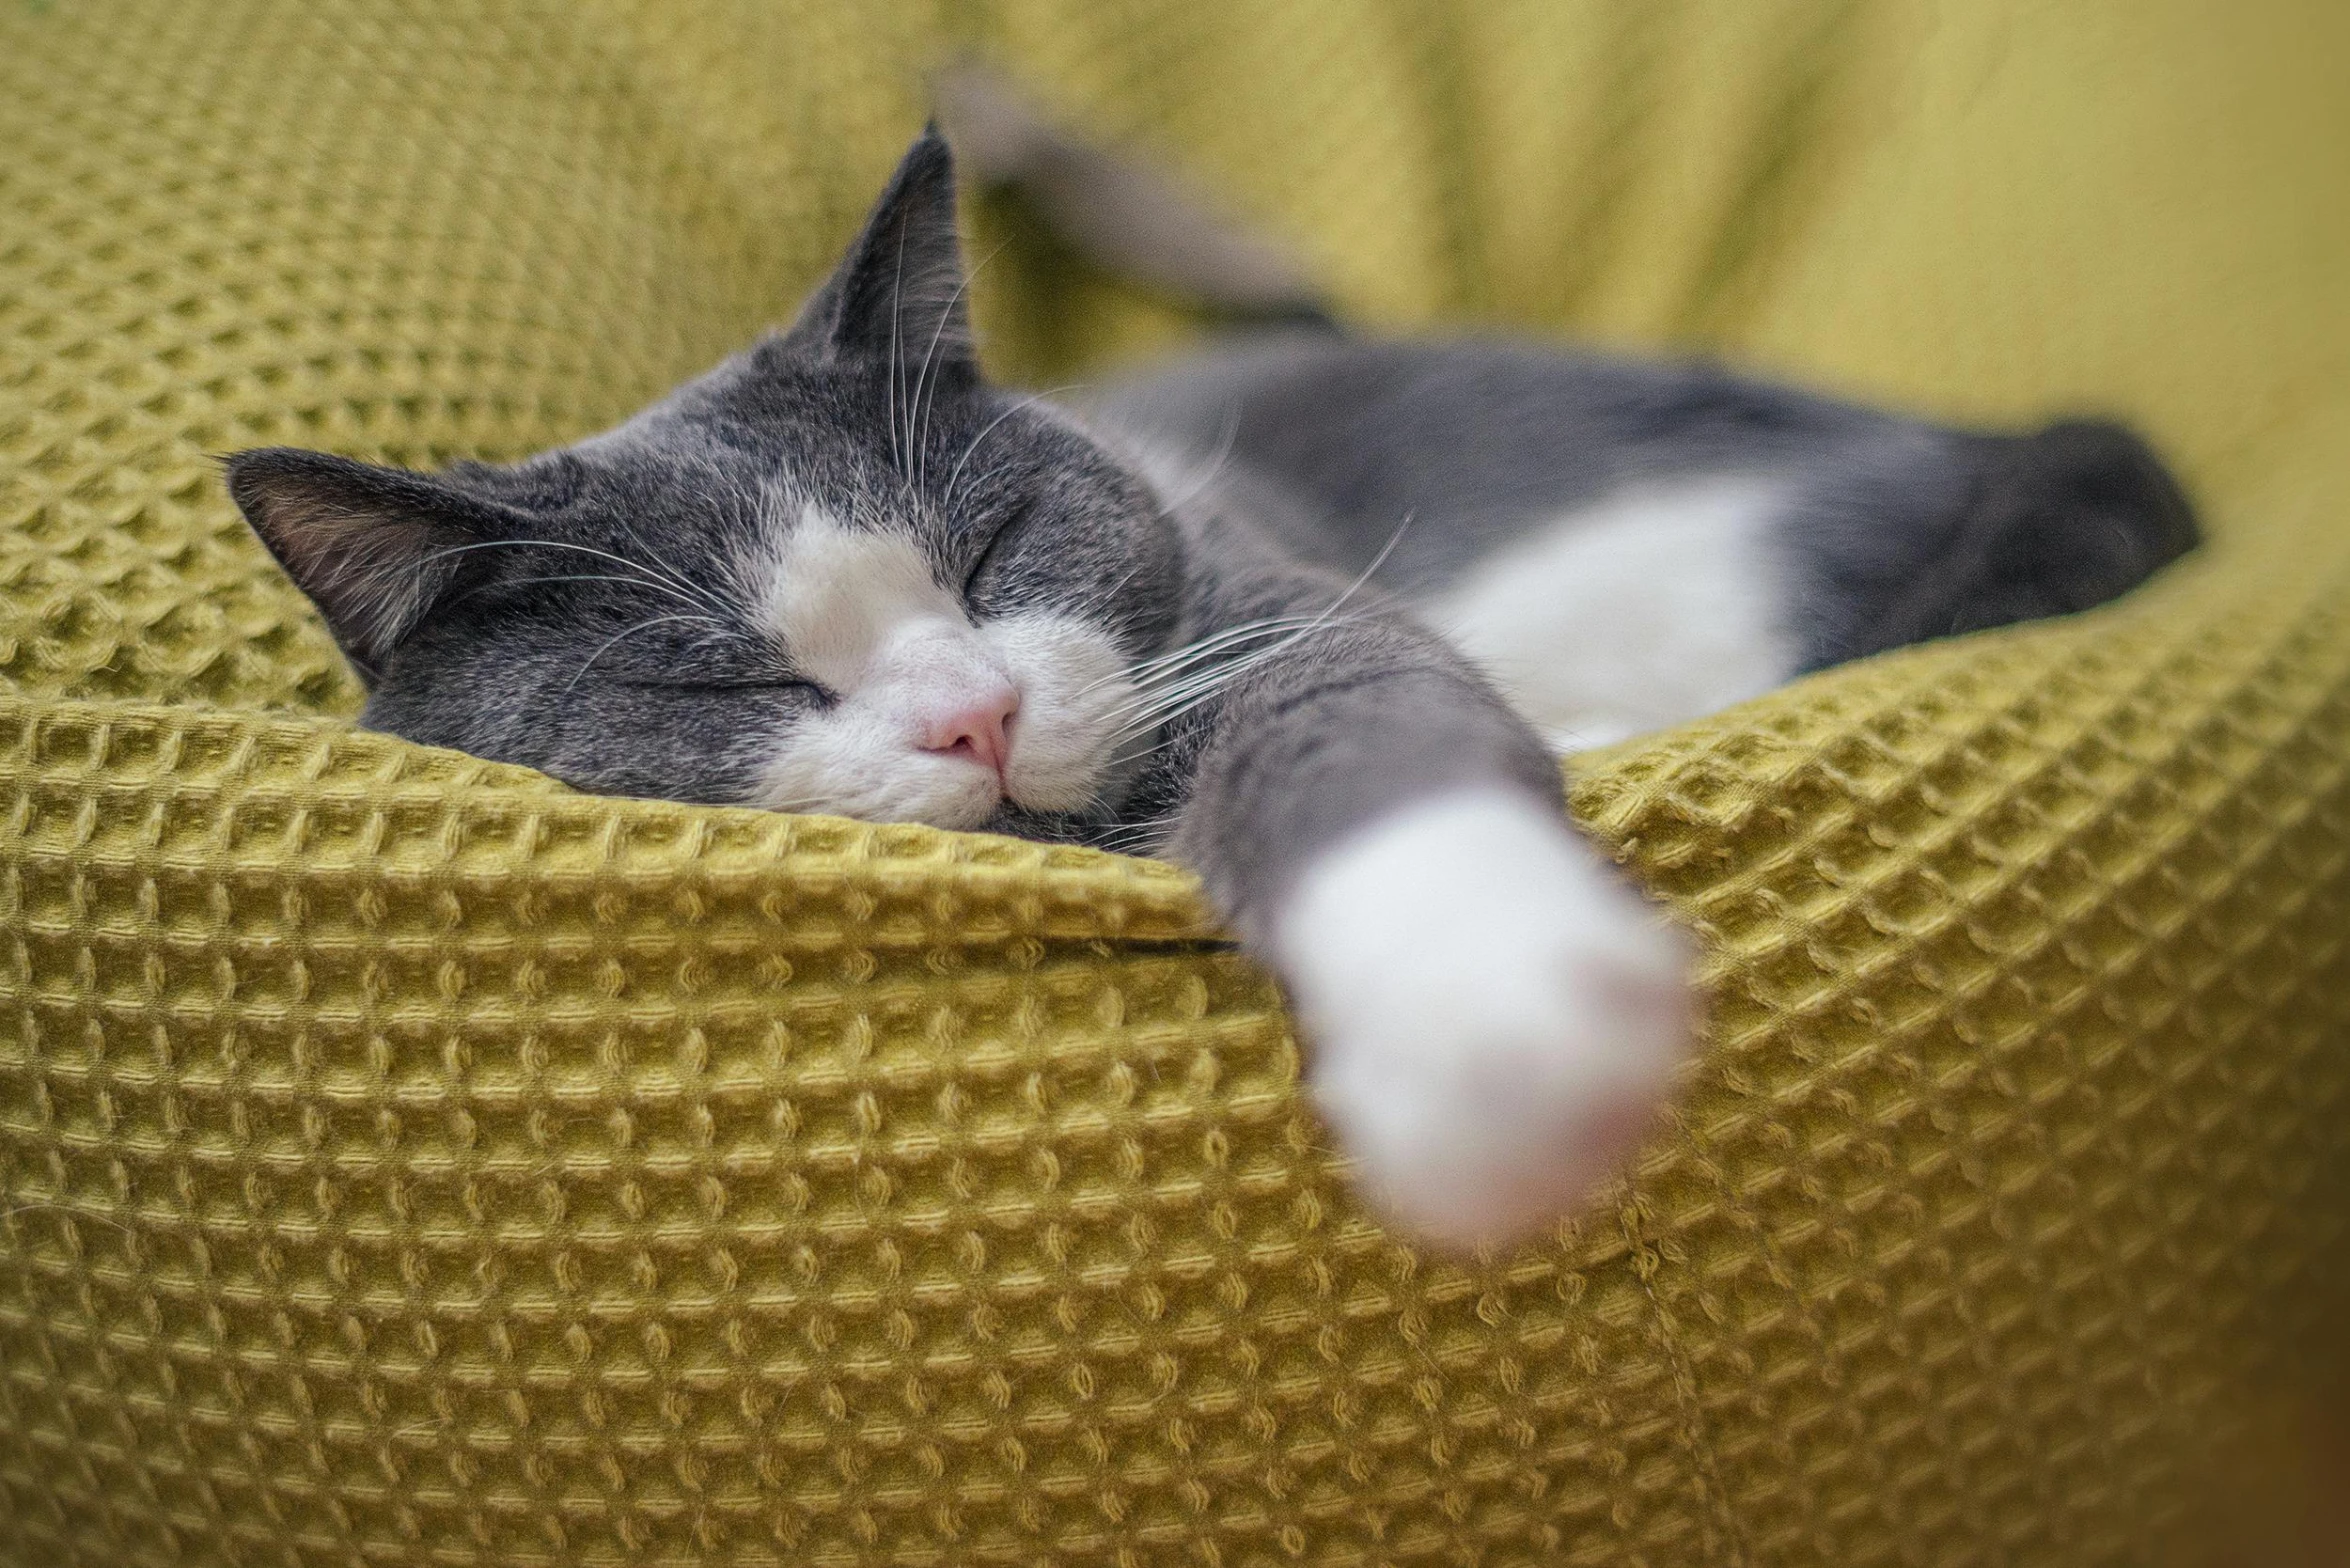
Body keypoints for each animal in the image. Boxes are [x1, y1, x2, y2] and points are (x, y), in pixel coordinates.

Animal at [224, 107, 2199, 1250]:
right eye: (721, 684)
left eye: (996, 544)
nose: (976, 713)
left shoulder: (1271, 597)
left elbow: (1356, 717)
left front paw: (1488, 1031)